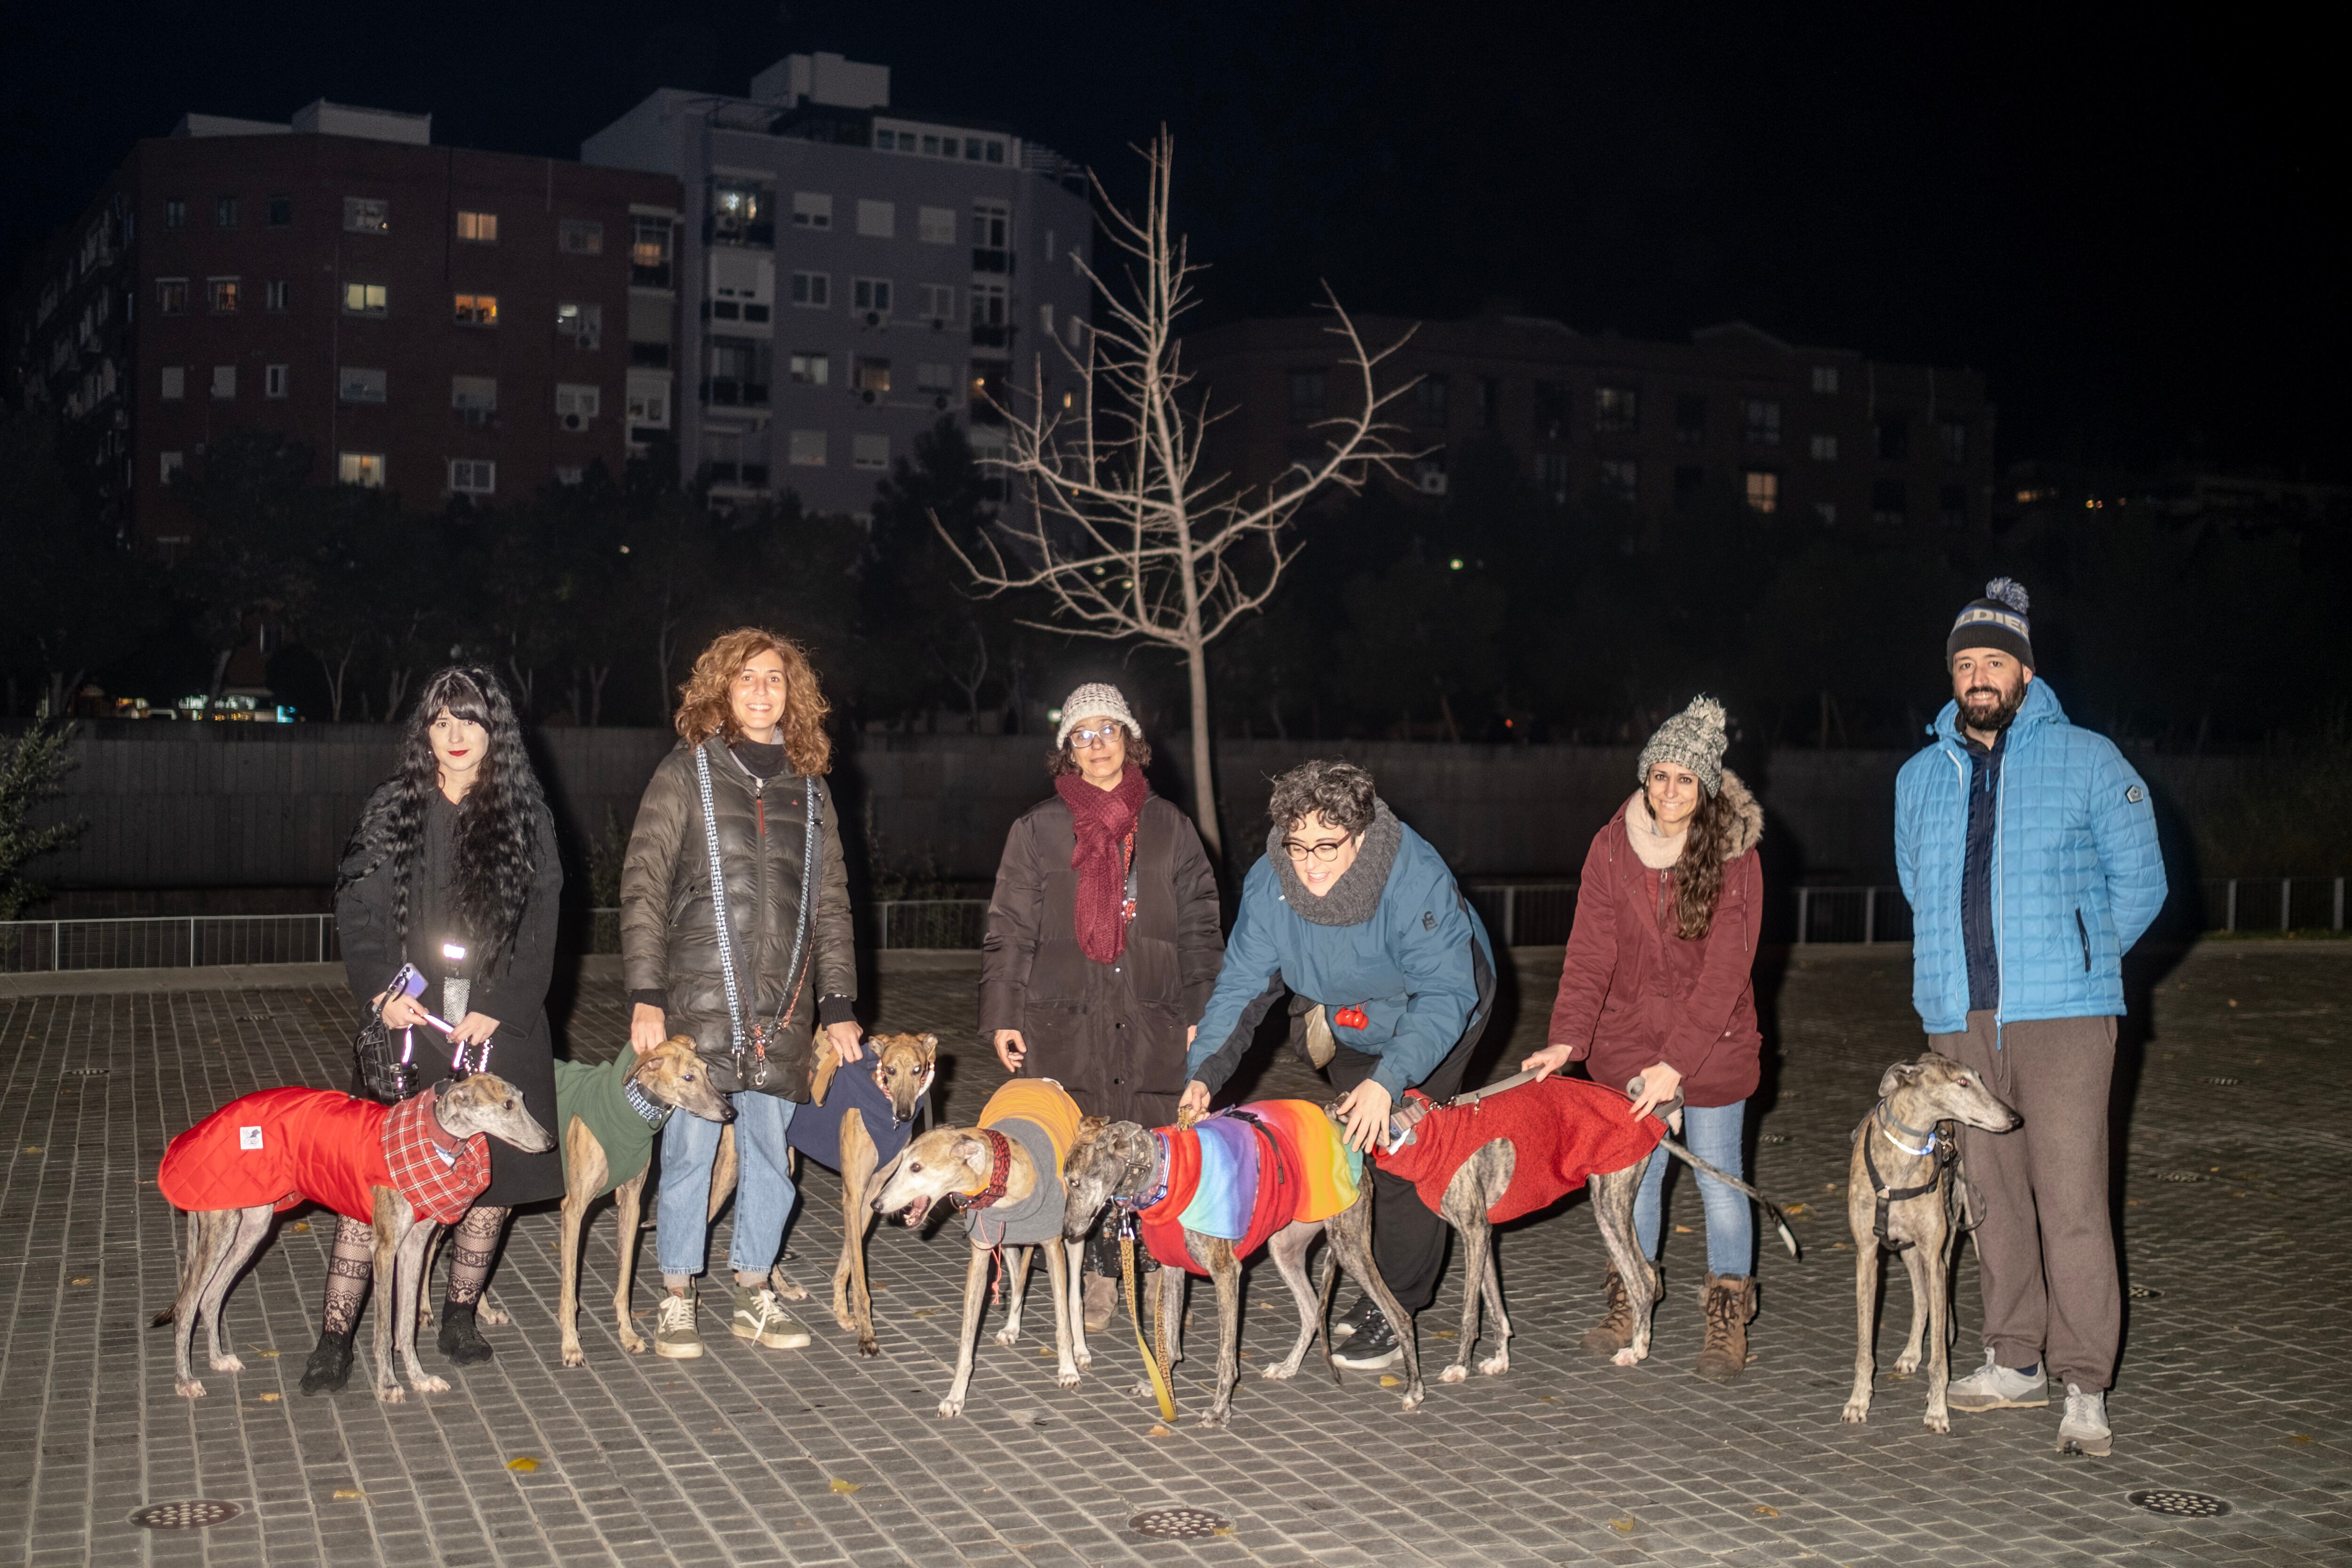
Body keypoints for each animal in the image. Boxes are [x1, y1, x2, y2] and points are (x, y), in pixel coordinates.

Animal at [156, 1081, 550, 1401]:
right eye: (508, 1105)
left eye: (523, 1099)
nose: (549, 1142)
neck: (431, 1137)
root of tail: (193, 1132)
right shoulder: (385, 1248)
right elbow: (384, 1330)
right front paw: (389, 1384)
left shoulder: (414, 1246)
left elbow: (405, 1325)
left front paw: (420, 1378)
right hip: (222, 1225)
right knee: (188, 1304)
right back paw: (184, 1380)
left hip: (253, 1225)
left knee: (210, 1297)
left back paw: (218, 1359)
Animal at [550, 1043, 734, 1373]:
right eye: (688, 1078)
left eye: (707, 1072)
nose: (731, 1112)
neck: (631, 1110)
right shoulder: (574, 1210)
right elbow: (570, 1290)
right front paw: (570, 1345)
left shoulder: (632, 1204)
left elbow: (624, 1283)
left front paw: (628, 1335)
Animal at [706, 1034, 936, 1354]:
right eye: (889, 1070)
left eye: (918, 1070)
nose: (903, 1114)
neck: (881, 1106)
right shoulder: (854, 1194)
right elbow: (861, 1280)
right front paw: (867, 1334)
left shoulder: (871, 1197)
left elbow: (847, 1262)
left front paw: (843, 1314)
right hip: (729, 1170)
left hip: (786, 1169)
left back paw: (781, 1288)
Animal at [1058, 1109, 1421, 1429]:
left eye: (1074, 1182)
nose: (1067, 1234)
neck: (1163, 1174)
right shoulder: (1174, 1269)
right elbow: (1170, 1342)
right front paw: (1160, 1385)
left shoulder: (1227, 1273)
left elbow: (1225, 1358)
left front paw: (1220, 1411)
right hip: (1284, 1249)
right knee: (1309, 1311)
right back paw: (1289, 1367)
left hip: (1350, 1247)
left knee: (1400, 1315)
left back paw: (1414, 1390)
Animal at [1835, 1053, 2023, 1439]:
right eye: (1962, 1082)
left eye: (1979, 1078)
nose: (2014, 1118)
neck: (1903, 1158)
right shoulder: (1867, 1256)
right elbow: (1864, 1347)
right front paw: (1858, 1402)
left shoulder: (1935, 1256)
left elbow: (1940, 1359)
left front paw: (1938, 1411)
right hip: (1909, 1250)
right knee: (1922, 1297)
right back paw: (1910, 1354)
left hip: (1958, 1232)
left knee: (1935, 1299)